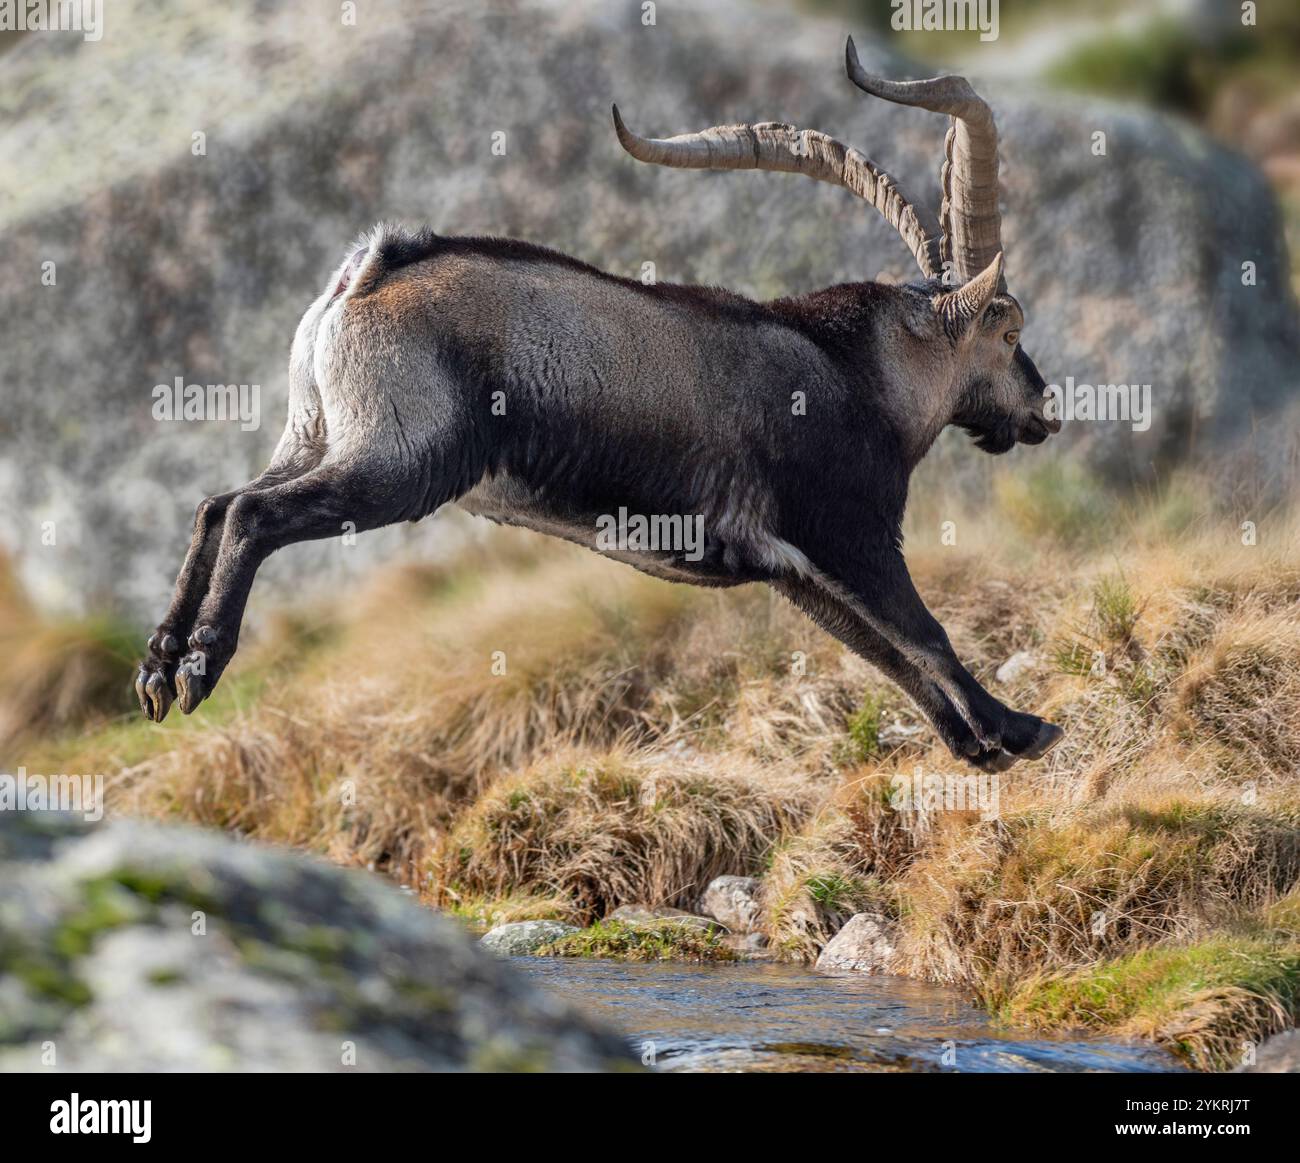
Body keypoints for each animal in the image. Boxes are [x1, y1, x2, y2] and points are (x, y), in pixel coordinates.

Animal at [137, 38, 1063, 771]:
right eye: (1008, 326)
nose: (1044, 408)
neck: (856, 370)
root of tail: (370, 270)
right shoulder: (848, 530)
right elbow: (923, 632)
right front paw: (1022, 730)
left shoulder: (793, 567)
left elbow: (885, 653)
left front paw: (982, 743)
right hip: (399, 459)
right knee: (254, 511)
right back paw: (200, 665)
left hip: (317, 431)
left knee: (218, 502)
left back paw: (157, 665)